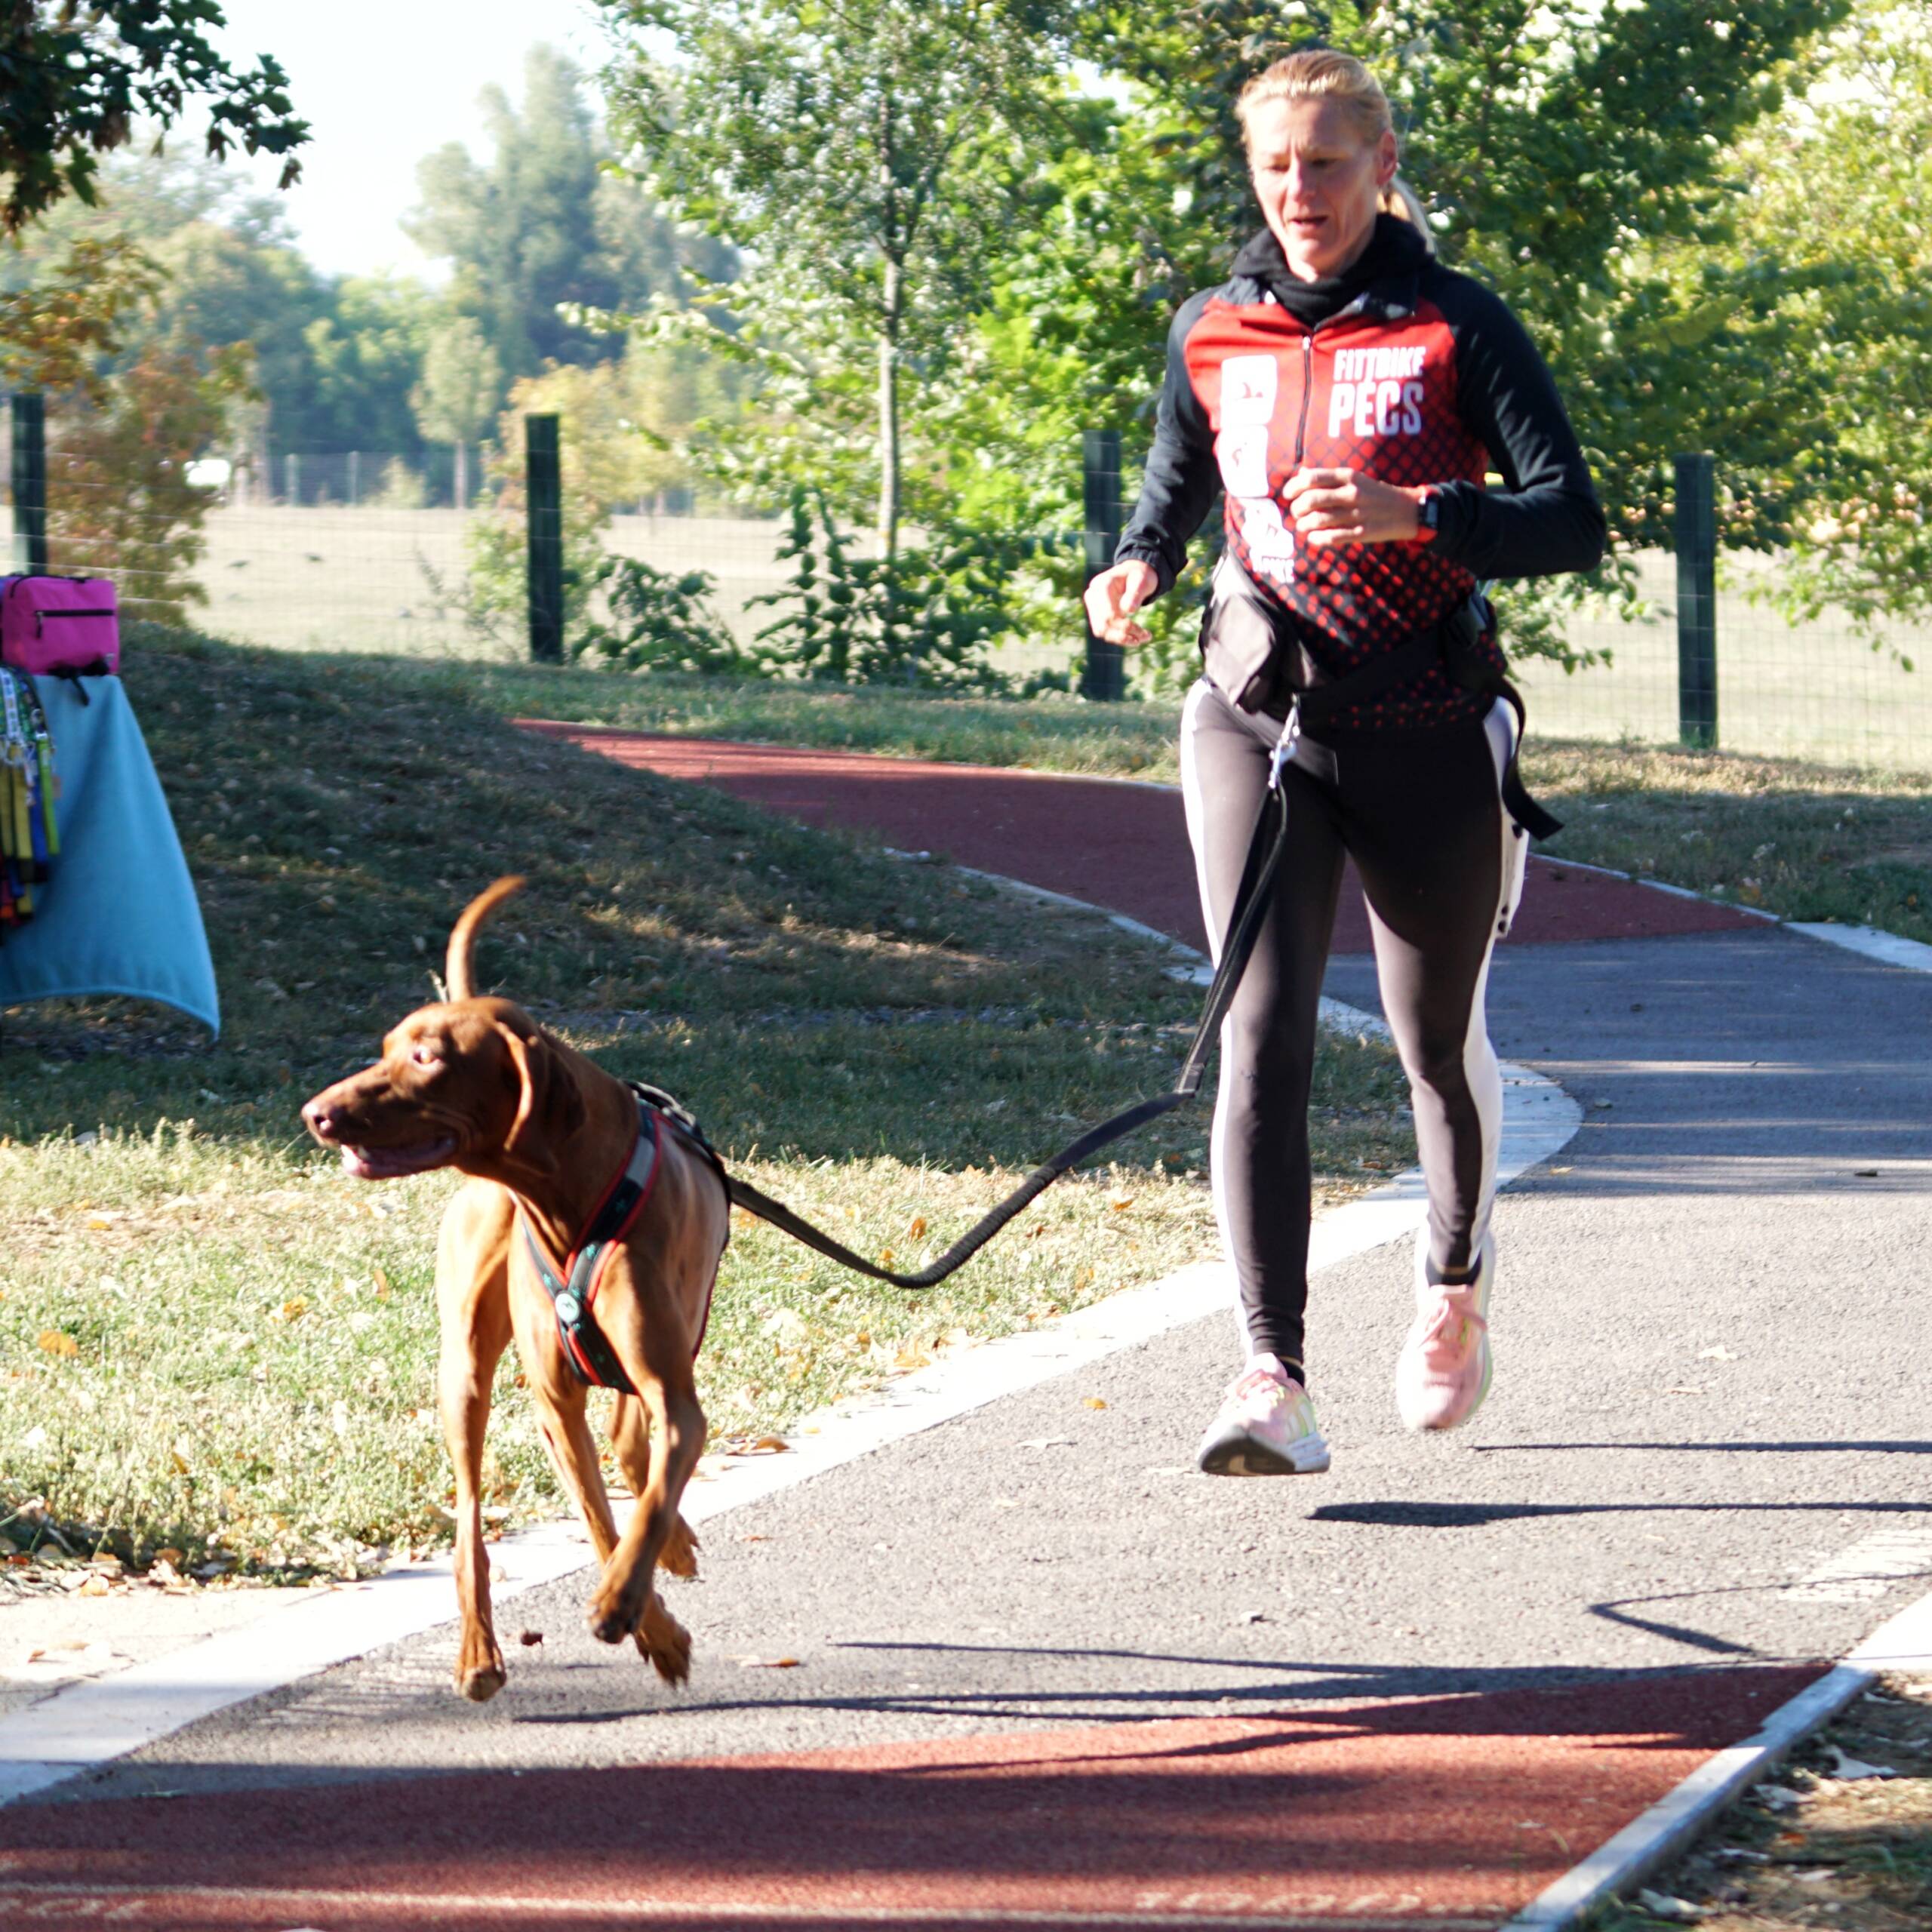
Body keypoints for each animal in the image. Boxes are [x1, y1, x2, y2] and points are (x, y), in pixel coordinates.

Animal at [302, 878, 728, 1702]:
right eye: (384, 1049)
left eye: (426, 1056)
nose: (316, 1114)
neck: (568, 1202)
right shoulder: (555, 1405)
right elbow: (602, 1521)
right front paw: (650, 1625)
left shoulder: (670, 1392)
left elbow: (650, 1490)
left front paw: (632, 1595)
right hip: (462, 1376)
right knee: (471, 1519)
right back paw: (478, 1654)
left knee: (634, 1451)